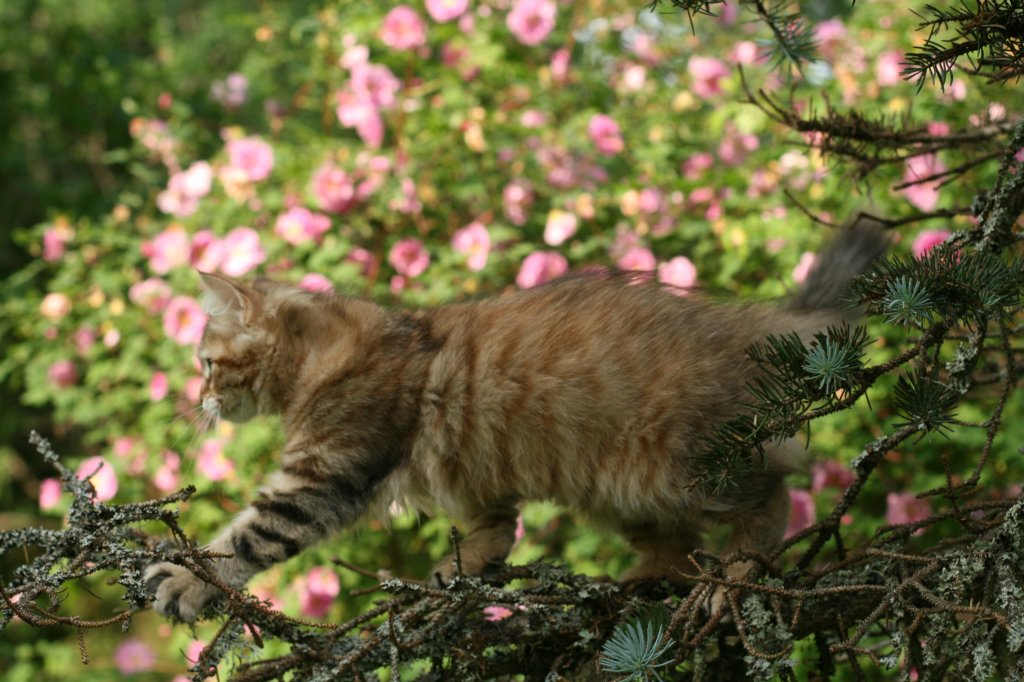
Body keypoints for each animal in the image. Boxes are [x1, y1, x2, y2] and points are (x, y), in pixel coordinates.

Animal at [145, 221, 887, 622]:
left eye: (206, 363)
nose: (198, 401)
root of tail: (744, 323)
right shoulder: (473, 473)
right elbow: (496, 527)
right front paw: (465, 568)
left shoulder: (325, 475)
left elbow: (244, 540)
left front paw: (183, 581)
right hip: (618, 492)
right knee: (675, 547)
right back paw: (636, 584)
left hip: (684, 466)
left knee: (773, 497)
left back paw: (734, 575)